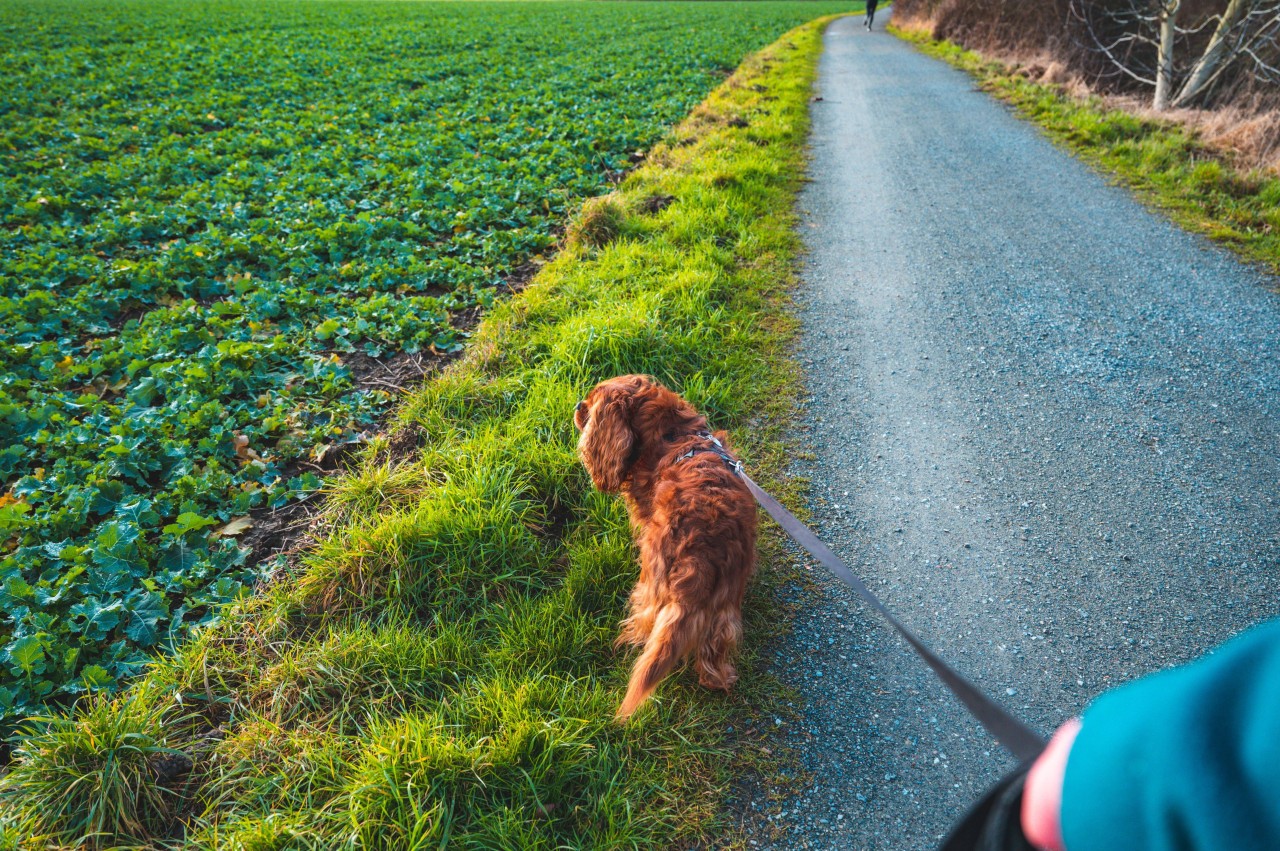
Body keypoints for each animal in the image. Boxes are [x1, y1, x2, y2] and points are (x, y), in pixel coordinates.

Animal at [576, 373, 752, 716]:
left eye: (590, 405)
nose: (577, 405)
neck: (672, 432)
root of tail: (701, 554)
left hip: (653, 580)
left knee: (648, 621)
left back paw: (631, 640)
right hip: (725, 601)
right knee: (717, 643)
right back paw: (718, 679)